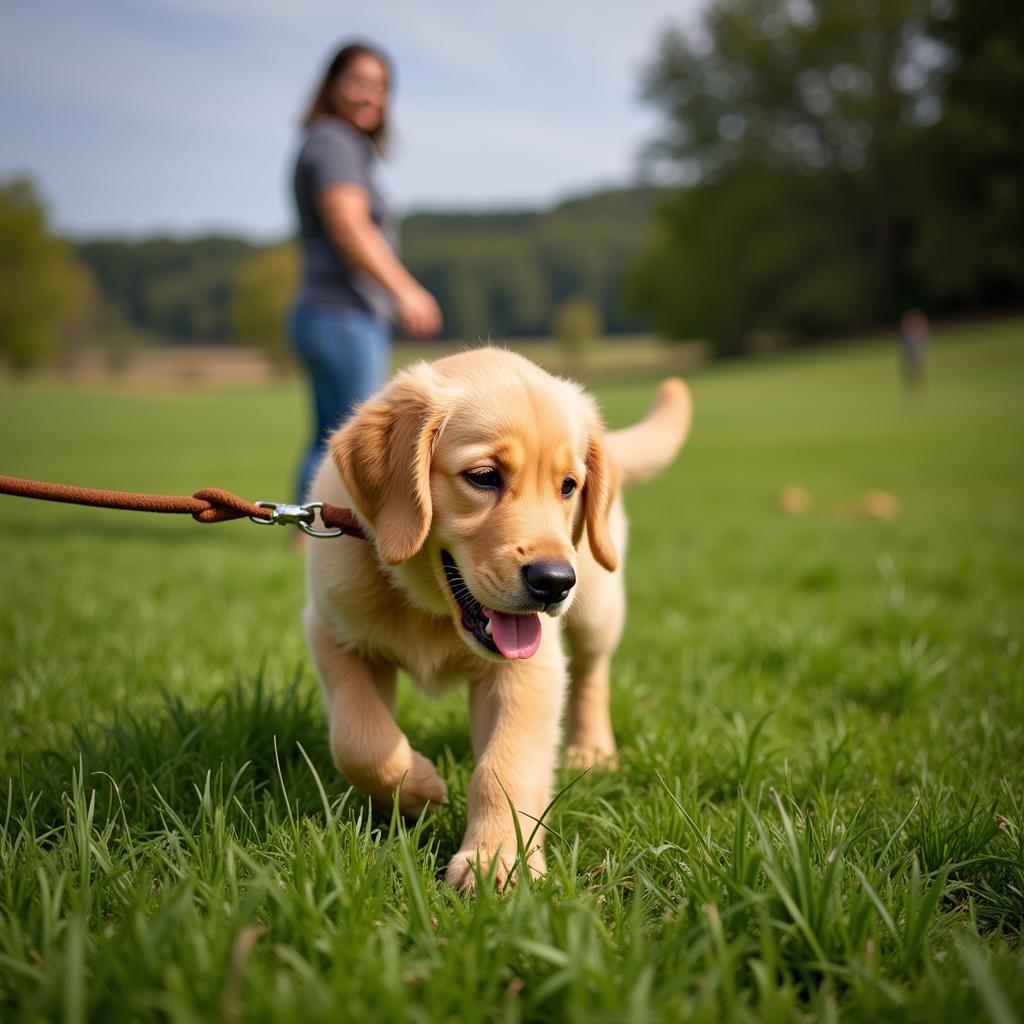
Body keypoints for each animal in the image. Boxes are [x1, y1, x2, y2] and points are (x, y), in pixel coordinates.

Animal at [301, 346, 688, 888]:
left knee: (592, 673)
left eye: (568, 486)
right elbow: (359, 738)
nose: (554, 581)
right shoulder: (333, 631)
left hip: (597, 603)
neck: (432, 609)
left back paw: (591, 752)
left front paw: (497, 861)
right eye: (484, 477)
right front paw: (418, 788)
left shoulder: (531, 669)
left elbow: (506, 767)